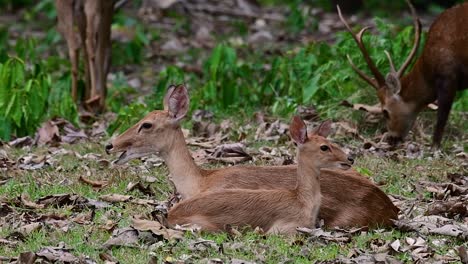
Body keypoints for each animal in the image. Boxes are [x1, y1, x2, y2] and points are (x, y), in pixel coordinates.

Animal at [166, 116, 352, 234]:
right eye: (324, 147)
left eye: (330, 142)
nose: (350, 159)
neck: (302, 200)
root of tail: (169, 214)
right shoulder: (283, 228)